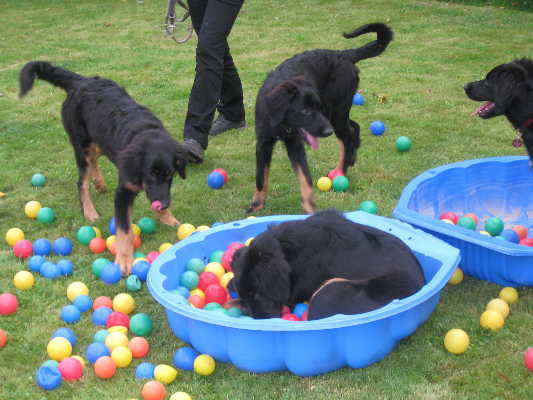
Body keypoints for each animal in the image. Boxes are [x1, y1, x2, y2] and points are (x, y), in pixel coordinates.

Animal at [19, 61, 189, 276]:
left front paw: (167, 217)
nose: (165, 205)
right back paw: (89, 210)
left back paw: (99, 183)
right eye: (150, 173)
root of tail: (81, 80)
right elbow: (125, 231)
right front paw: (124, 261)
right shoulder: (123, 193)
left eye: (170, 174)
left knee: (95, 159)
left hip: (100, 141)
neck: (146, 132)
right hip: (82, 144)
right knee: (82, 181)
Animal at [227, 211, 426, 320]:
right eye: (247, 294)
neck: (285, 247)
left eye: (257, 292)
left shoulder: (292, 295)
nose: (261, 320)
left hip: (333, 290)